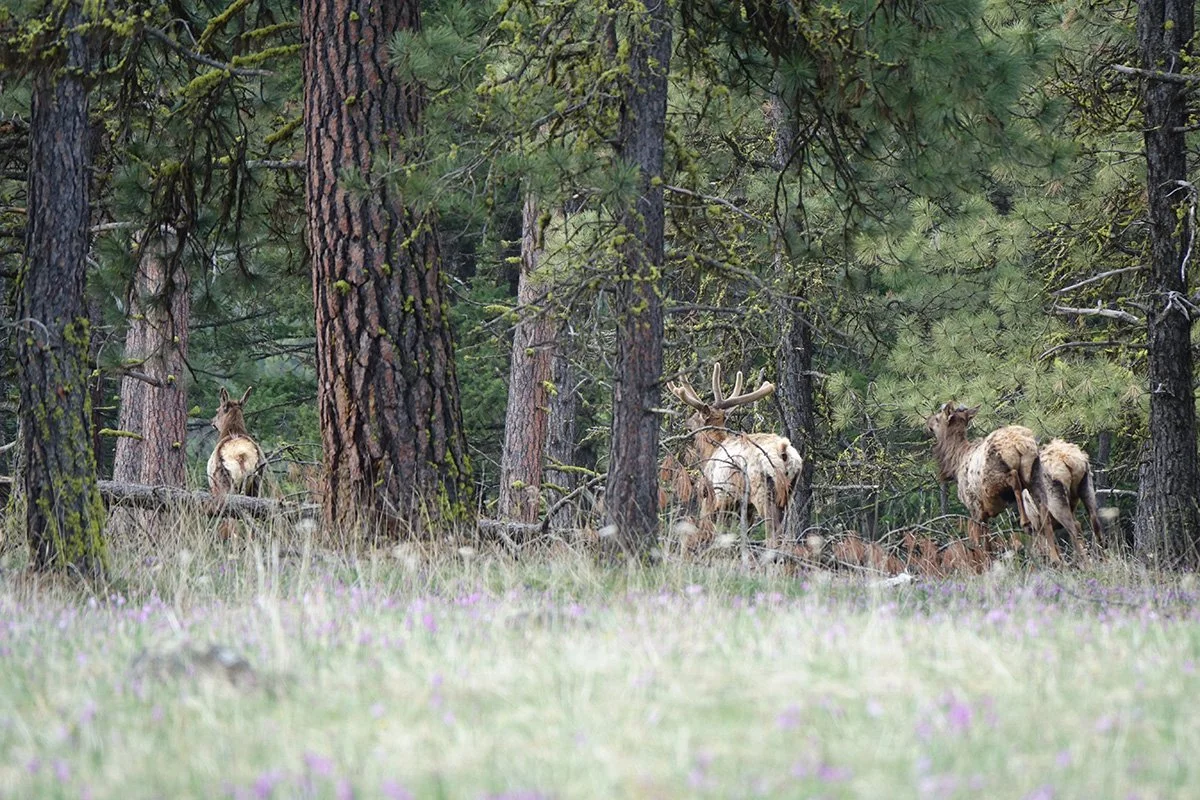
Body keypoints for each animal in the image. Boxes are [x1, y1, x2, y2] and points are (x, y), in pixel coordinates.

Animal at [666, 363, 802, 550]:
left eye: (696, 416)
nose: (686, 422)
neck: (712, 450)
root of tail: (784, 452)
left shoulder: (714, 498)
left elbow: (714, 532)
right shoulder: (743, 508)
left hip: (761, 489)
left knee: (773, 532)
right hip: (788, 492)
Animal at [925, 403, 1055, 561]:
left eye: (937, 418)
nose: (927, 422)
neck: (955, 465)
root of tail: (1020, 443)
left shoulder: (975, 508)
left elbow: (984, 546)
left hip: (993, 480)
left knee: (1014, 478)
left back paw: (1026, 523)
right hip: (1034, 474)